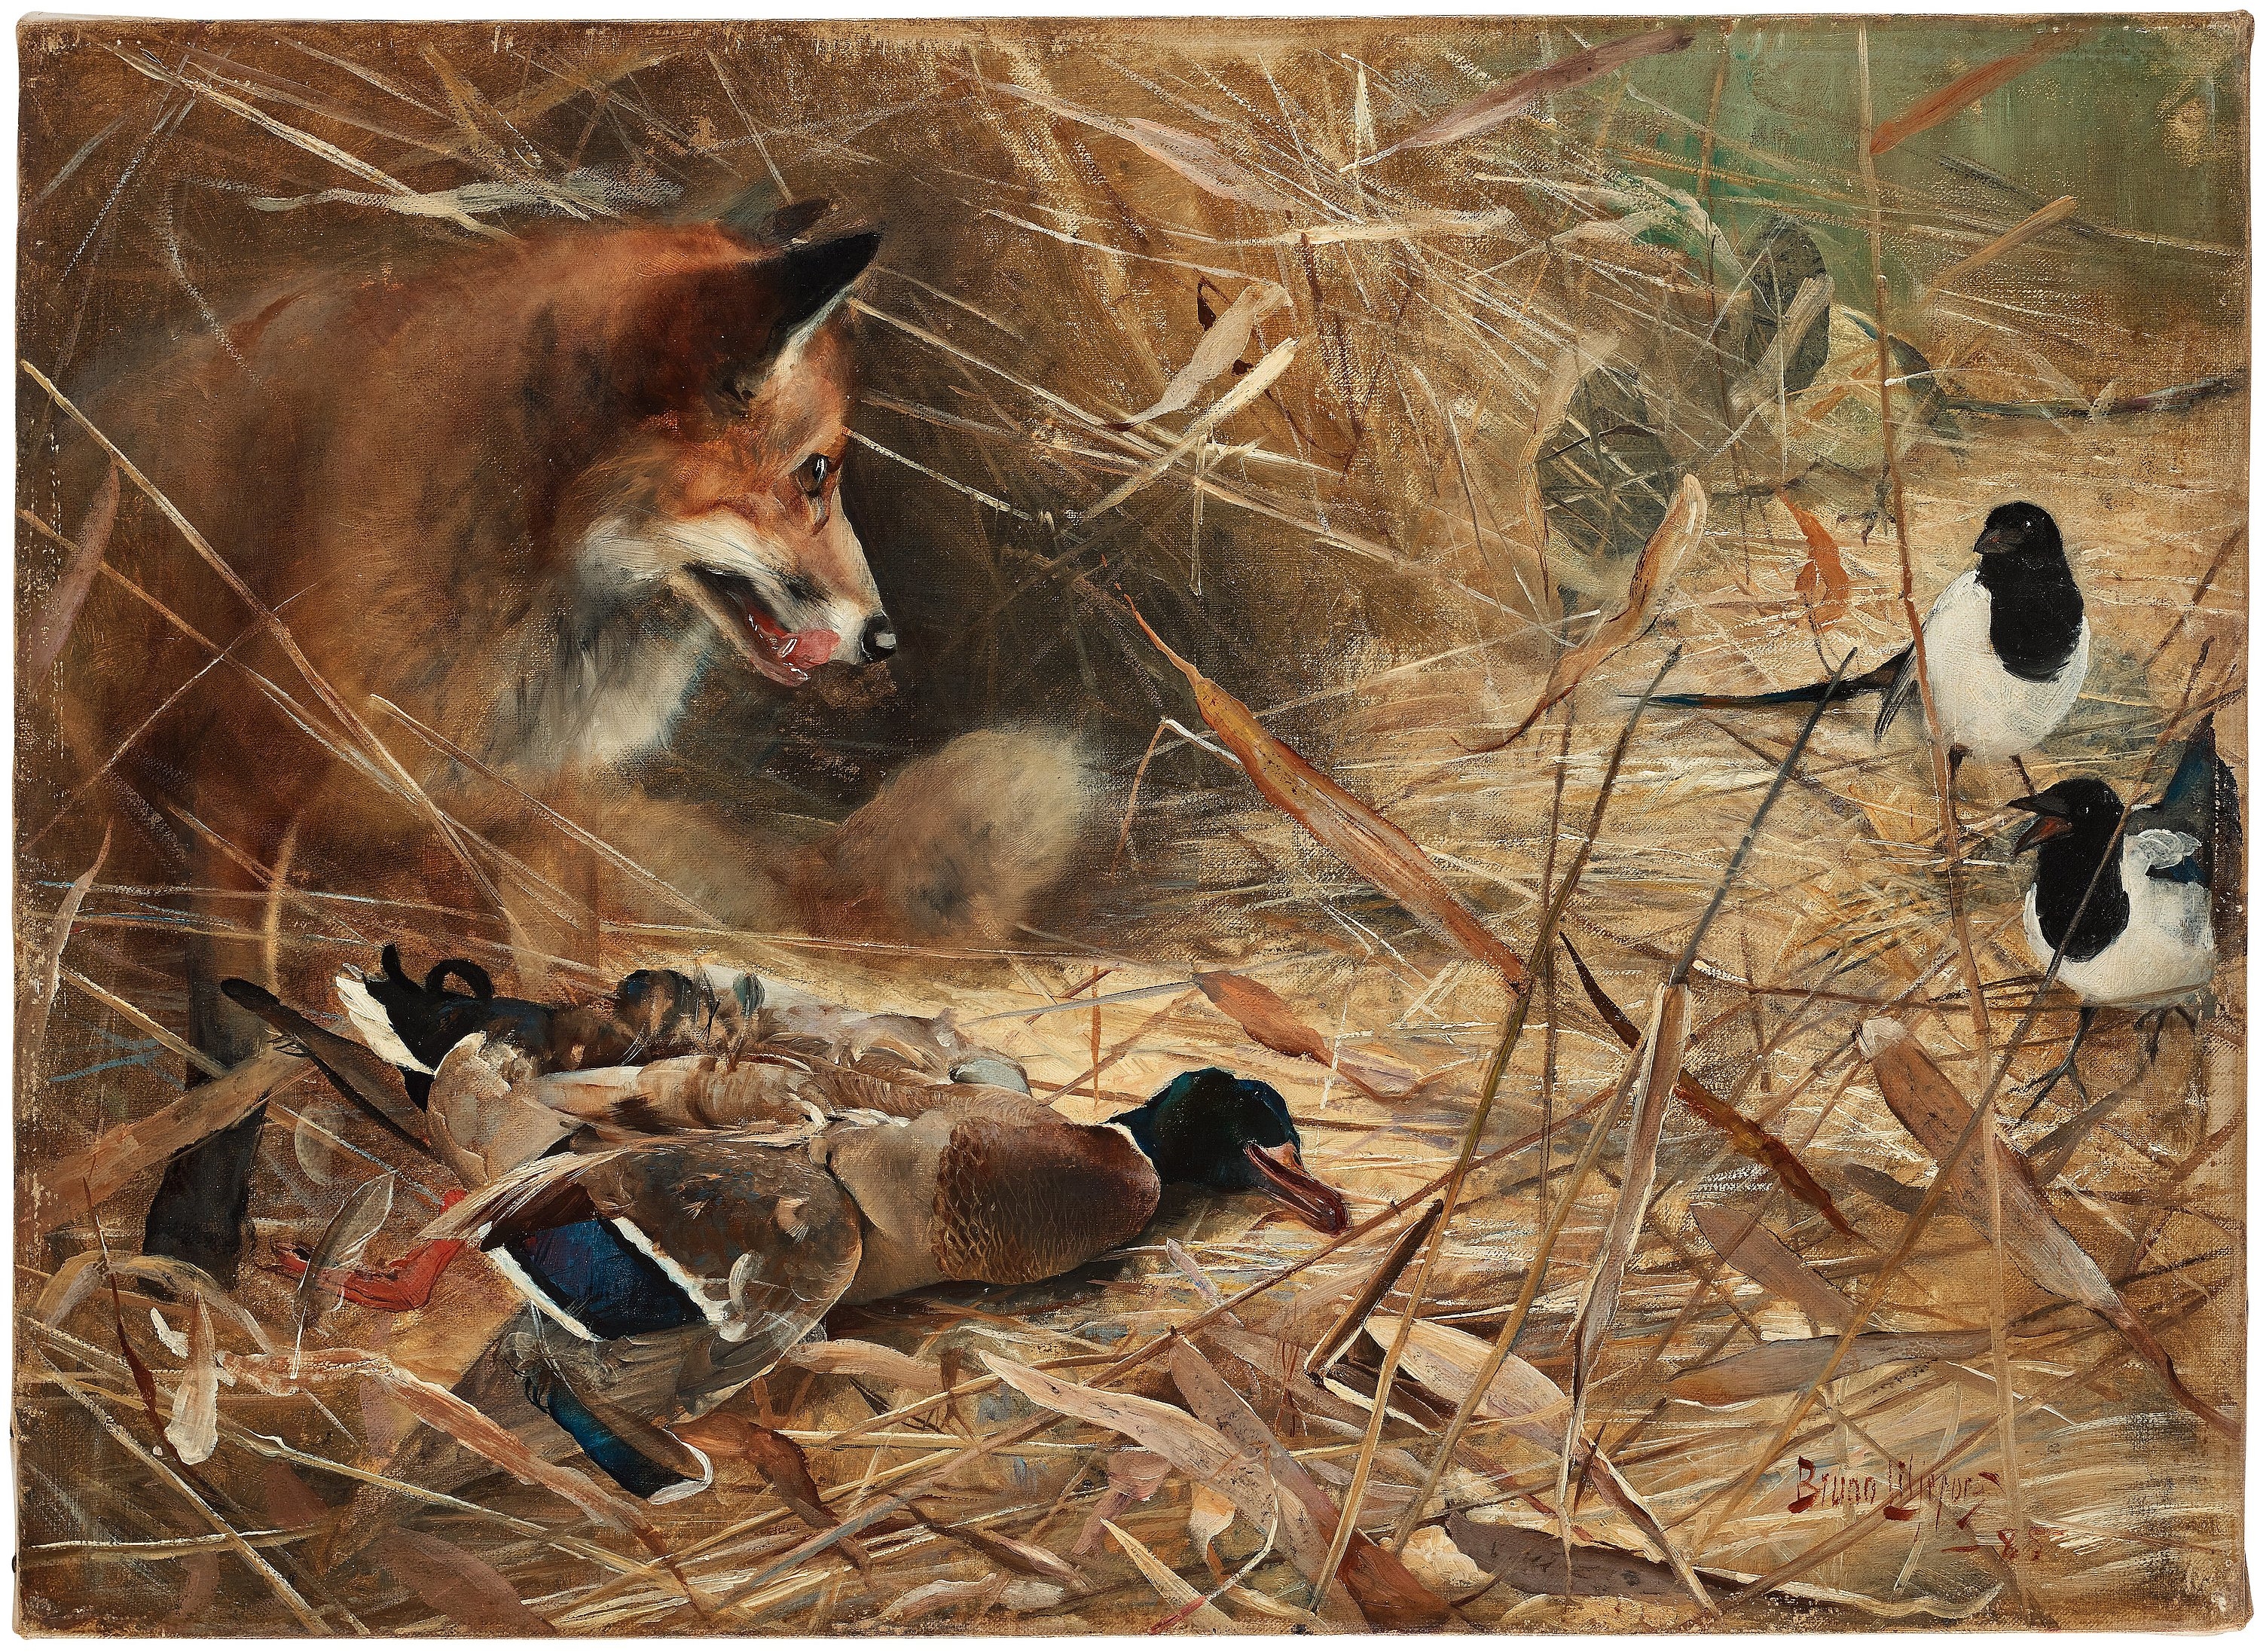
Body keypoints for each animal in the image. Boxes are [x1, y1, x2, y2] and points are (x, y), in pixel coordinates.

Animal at [37, 213, 1093, 1280]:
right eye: (816, 472)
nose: (884, 639)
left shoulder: (541, 812)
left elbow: (557, 1007)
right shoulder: (240, 798)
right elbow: (237, 1050)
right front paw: (193, 1237)